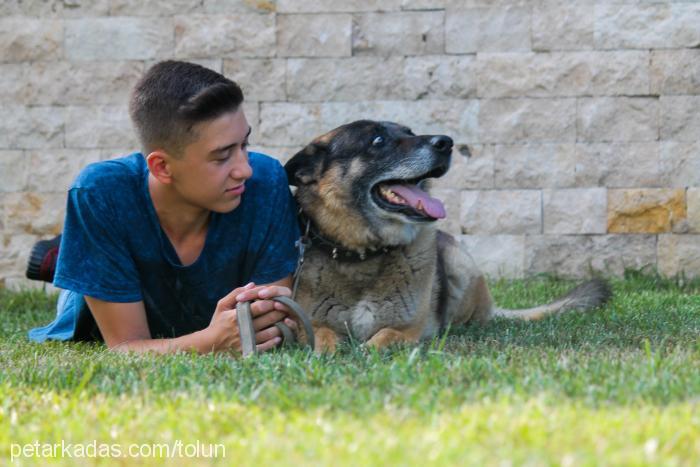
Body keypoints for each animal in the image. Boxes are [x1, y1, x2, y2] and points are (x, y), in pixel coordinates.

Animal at [282, 120, 608, 352]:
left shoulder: (409, 330)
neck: (364, 256)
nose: (446, 142)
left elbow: (385, 337)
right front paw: (326, 349)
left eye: (410, 132)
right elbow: (321, 336)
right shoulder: (308, 322)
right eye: (378, 140)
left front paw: (367, 348)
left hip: (458, 262)